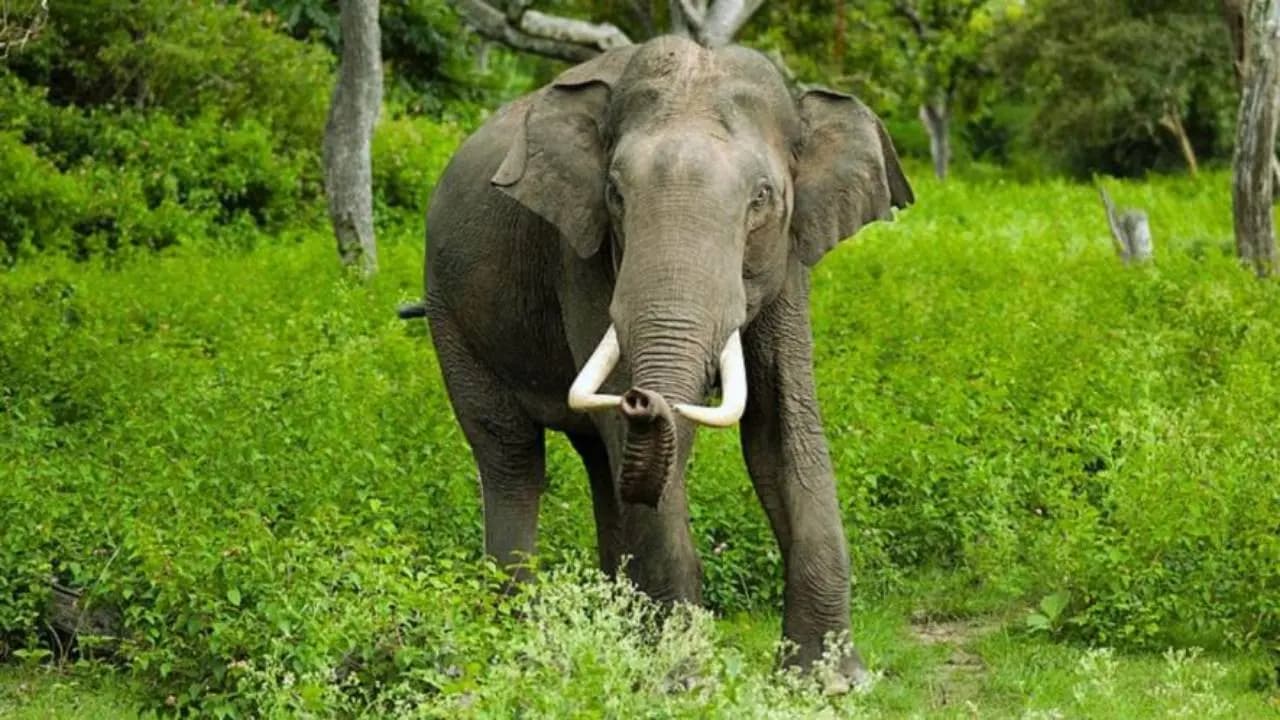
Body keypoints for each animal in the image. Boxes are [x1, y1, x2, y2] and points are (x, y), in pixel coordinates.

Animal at [412, 35, 913, 685]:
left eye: (762, 199)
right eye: (616, 195)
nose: (641, 397)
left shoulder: (789, 259)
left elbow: (782, 429)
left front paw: (829, 683)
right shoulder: (581, 254)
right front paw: (684, 680)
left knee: (600, 464)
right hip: (448, 312)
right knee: (512, 457)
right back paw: (517, 640)